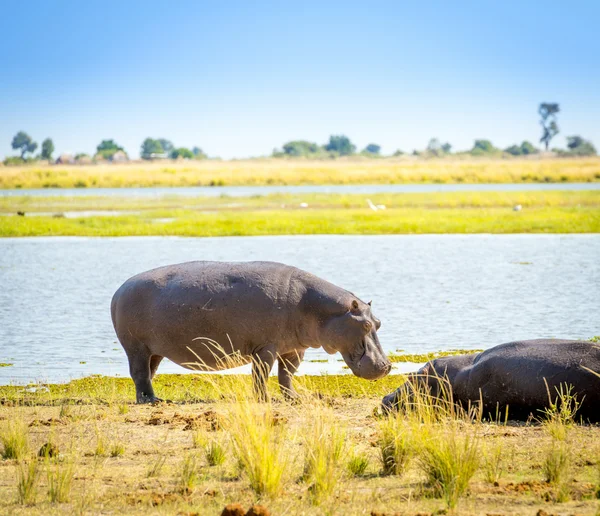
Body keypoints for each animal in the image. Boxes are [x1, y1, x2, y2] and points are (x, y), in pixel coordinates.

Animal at [112, 262, 392, 404]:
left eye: (378, 323)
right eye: (365, 326)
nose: (386, 366)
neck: (320, 309)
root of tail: (119, 289)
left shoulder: (293, 349)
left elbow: (286, 375)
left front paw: (294, 398)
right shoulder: (265, 348)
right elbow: (261, 375)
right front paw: (264, 400)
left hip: (154, 350)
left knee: (148, 374)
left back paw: (152, 398)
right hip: (136, 347)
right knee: (139, 373)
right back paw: (152, 401)